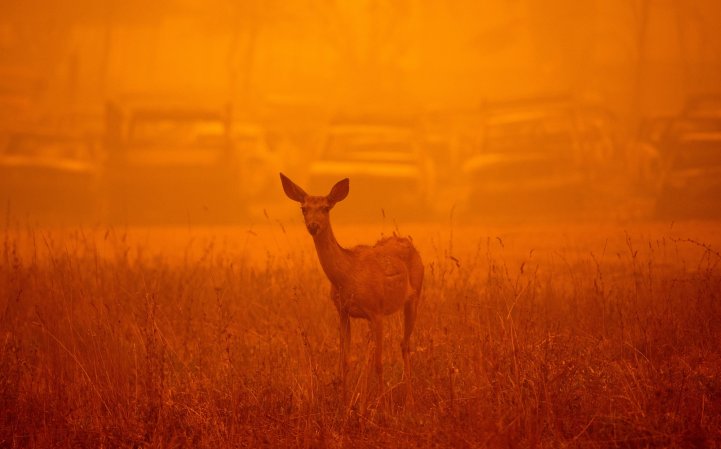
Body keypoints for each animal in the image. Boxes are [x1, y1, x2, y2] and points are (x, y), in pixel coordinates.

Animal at [278, 172, 422, 402]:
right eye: (303, 208)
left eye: (326, 208)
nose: (313, 226)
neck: (346, 276)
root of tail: (410, 244)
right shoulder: (343, 311)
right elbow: (345, 360)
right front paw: (345, 401)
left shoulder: (376, 311)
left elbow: (379, 363)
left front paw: (382, 406)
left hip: (415, 295)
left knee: (404, 345)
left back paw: (409, 400)